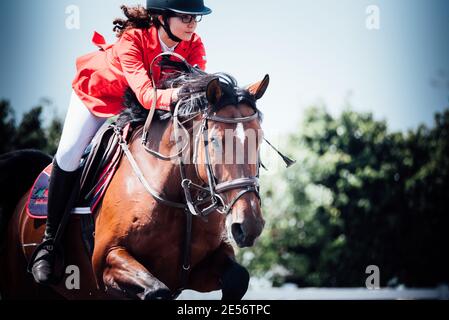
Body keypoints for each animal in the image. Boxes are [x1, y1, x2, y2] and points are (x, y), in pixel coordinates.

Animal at [0, 65, 270, 300]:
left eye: (259, 139)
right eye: (214, 140)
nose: (249, 226)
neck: (178, 200)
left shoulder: (199, 269)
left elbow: (238, 279)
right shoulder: (107, 260)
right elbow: (155, 291)